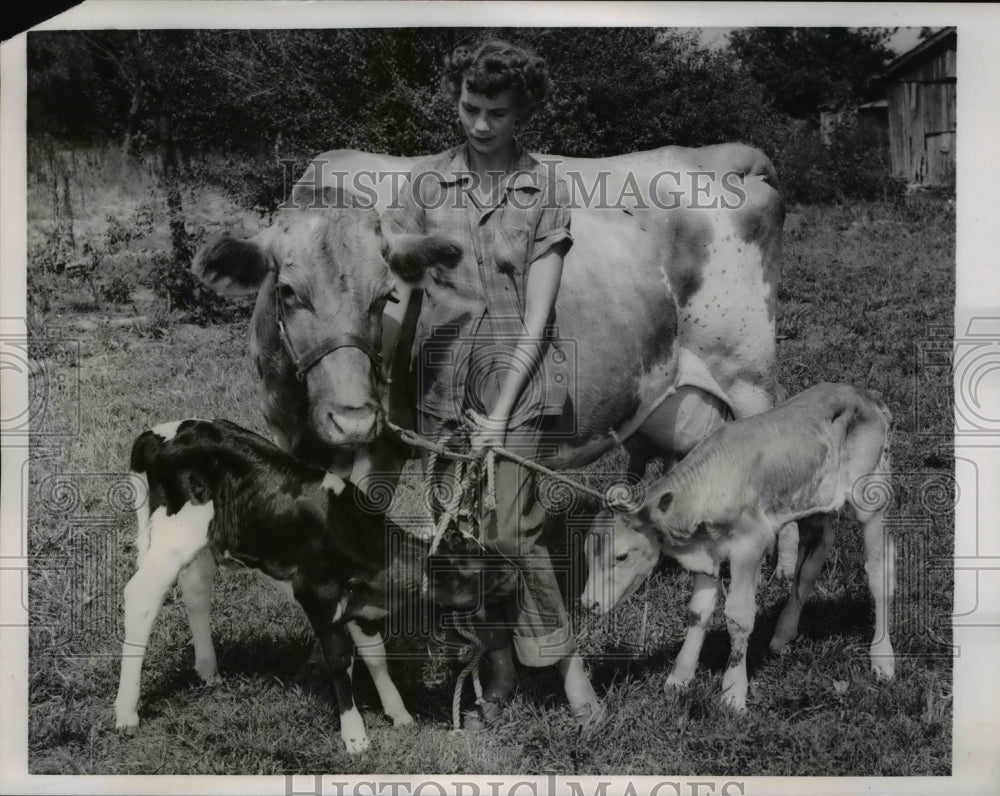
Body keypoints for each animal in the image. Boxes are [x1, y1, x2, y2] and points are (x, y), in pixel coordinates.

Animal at [117, 420, 516, 756]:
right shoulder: (318, 597)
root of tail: (158, 433)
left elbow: (376, 655)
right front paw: (354, 735)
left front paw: (398, 712)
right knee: (141, 596)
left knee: (195, 591)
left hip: (203, 540)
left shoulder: (360, 605)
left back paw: (208, 671)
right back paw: (126, 712)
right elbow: (341, 661)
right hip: (176, 533)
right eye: (482, 570)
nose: (515, 571)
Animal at [191, 145, 800, 720]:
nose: (354, 417)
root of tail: (723, 156)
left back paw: (783, 599)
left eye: (385, 296)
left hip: (749, 382)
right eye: (288, 291)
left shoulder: (382, 454)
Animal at [580, 382, 900, 712]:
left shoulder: (749, 546)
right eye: (587, 554)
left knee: (879, 574)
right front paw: (679, 678)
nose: (588, 603)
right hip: (814, 504)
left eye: (621, 555)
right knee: (812, 560)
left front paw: (733, 692)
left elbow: (739, 616)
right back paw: (784, 634)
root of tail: (864, 396)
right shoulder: (707, 551)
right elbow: (698, 612)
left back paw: (883, 659)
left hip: (871, 496)